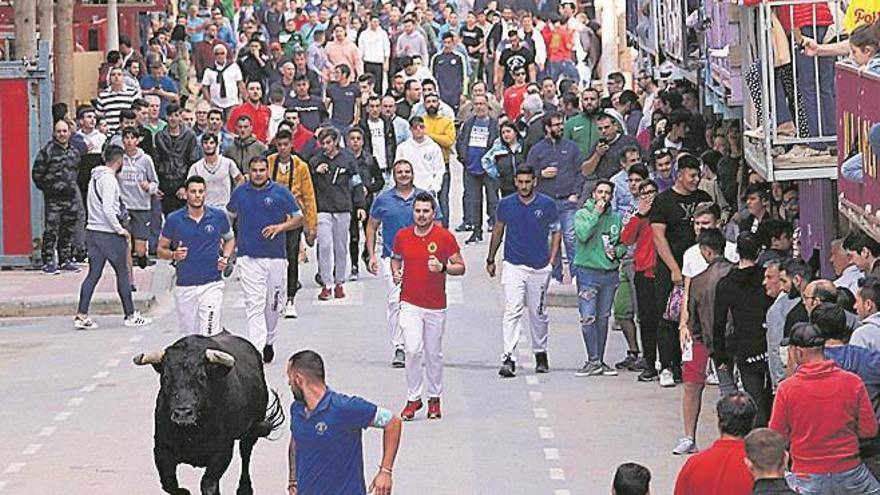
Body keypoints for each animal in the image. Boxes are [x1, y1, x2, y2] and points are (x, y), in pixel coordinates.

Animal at [133, 332, 282, 494]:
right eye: (166, 377)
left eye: (202, 377)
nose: (183, 413)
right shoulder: (162, 450)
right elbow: (169, 483)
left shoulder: (222, 451)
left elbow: (208, 484)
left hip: (251, 433)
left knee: (245, 454)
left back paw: (244, 489)